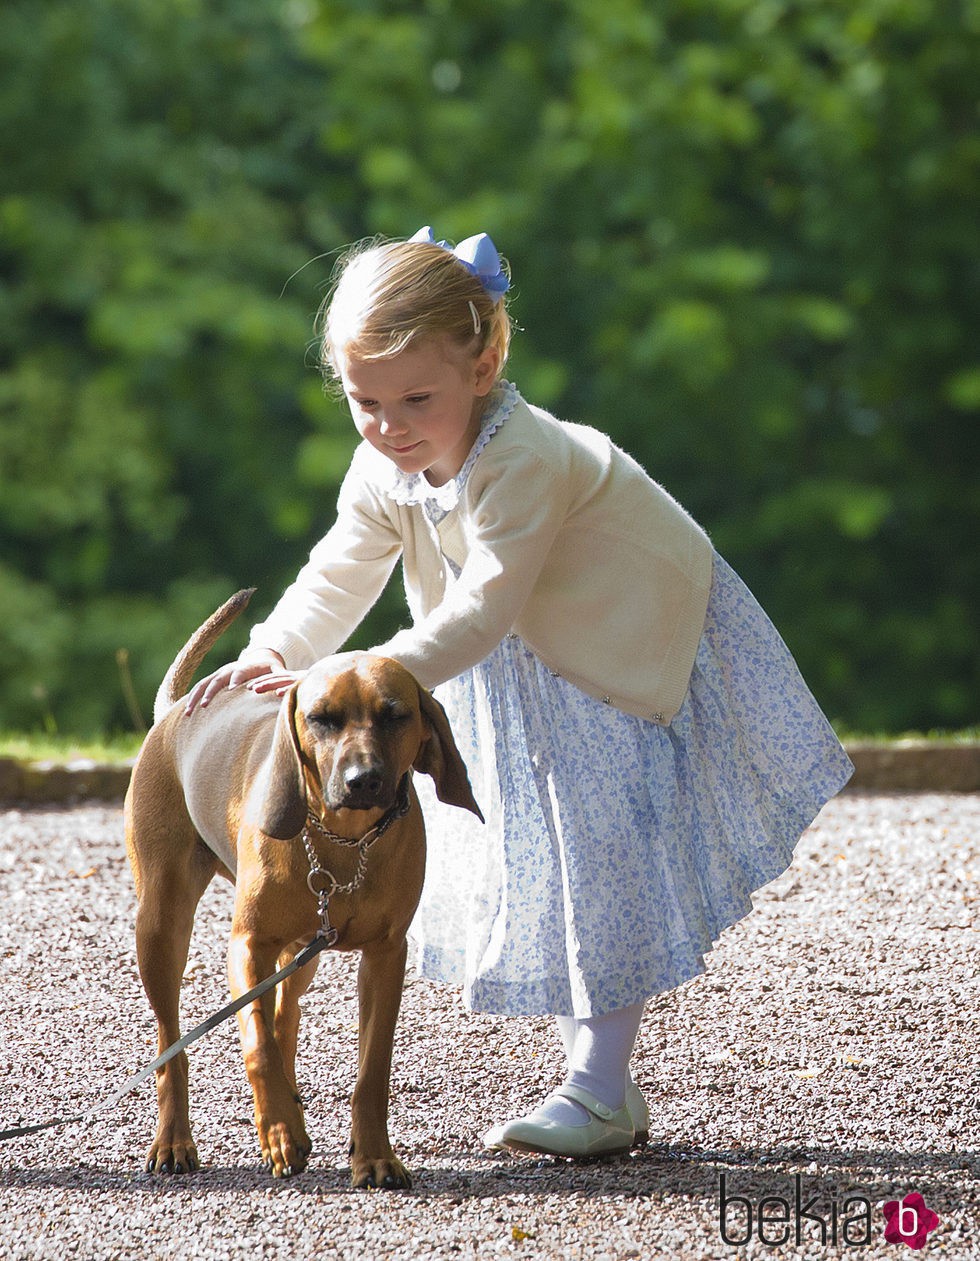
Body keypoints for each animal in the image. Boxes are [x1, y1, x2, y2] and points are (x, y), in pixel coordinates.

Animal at [124, 585, 484, 1185]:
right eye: (322, 719)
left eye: (395, 715)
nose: (364, 781)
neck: (344, 842)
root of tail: (173, 711)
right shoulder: (247, 945)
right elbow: (256, 1045)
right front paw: (279, 1134)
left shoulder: (386, 955)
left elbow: (371, 1068)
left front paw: (375, 1155)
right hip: (161, 924)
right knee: (173, 1041)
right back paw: (175, 1140)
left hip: (304, 948)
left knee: (284, 1014)